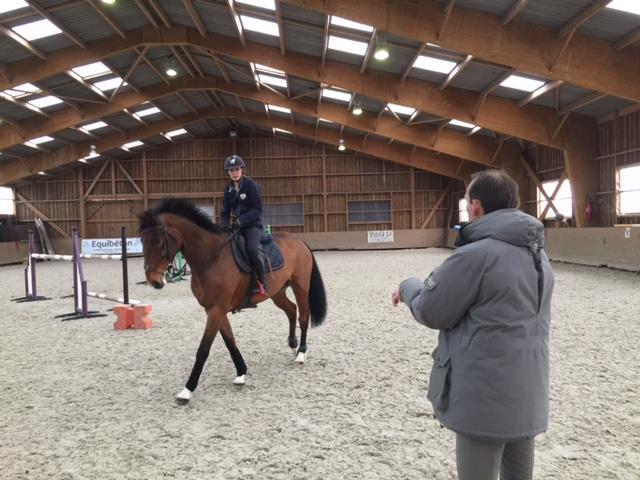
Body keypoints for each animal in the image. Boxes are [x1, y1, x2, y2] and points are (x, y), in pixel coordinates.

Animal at [138, 198, 327, 404]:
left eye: (158, 241)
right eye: (142, 240)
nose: (153, 281)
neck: (211, 259)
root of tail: (299, 241)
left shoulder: (216, 310)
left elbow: (203, 349)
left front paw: (187, 390)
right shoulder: (213, 310)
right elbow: (230, 341)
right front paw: (241, 372)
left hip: (300, 287)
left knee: (303, 316)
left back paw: (301, 352)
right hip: (277, 292)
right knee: (291, 310)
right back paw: (293, 345)